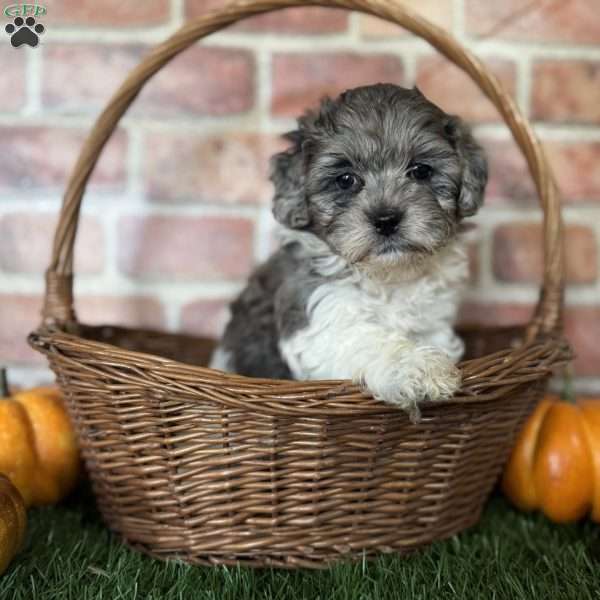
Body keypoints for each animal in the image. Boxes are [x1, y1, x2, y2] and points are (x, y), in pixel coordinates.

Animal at [211, 83, 488, 412]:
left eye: (421, 171)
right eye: (345, 180)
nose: (386, 220)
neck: (387, 277)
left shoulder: (433, 321)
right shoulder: (320, 316)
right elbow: (367, 342)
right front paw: (418, 367)